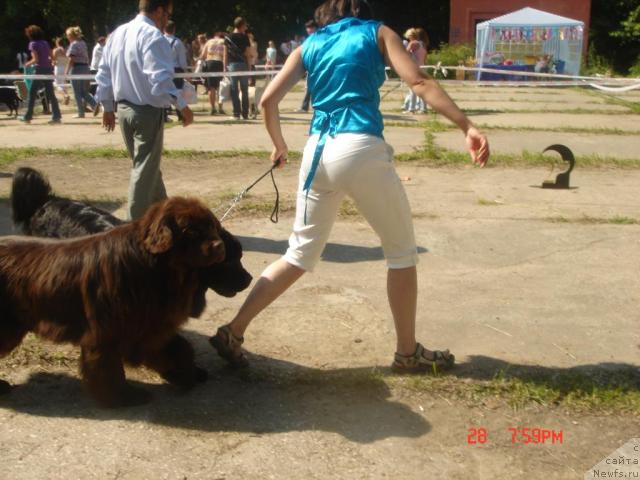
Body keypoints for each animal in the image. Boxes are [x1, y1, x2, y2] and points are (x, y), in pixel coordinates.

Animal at [0, 197, 225, 406]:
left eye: (211, 226)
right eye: (192, 230)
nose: (219, 245)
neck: (153, 265)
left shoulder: (150, 325)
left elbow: (178, 347)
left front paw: (186, 373)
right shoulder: (108, 331)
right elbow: (108, 368)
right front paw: (122, 397)